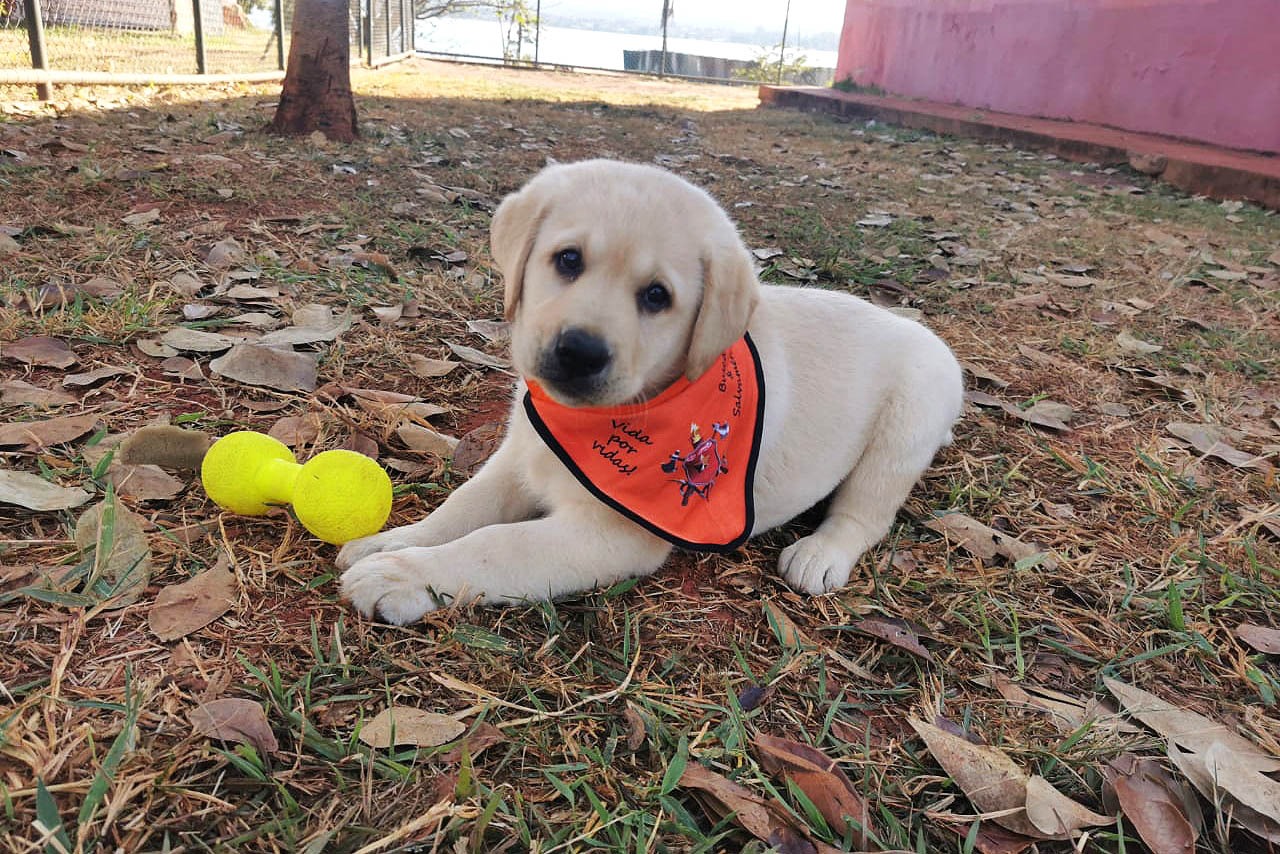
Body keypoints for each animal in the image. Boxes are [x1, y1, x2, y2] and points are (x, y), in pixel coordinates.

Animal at [340, 160, 962, 624]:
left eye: (657, 296)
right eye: (568, 259)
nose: (579, 351)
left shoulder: (611, 535)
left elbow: (496, 545)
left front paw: (403, 576)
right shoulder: (519, 457)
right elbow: (464, 506)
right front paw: (393, 542)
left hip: (908, 424)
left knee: (867, 512)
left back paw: (820, 554)